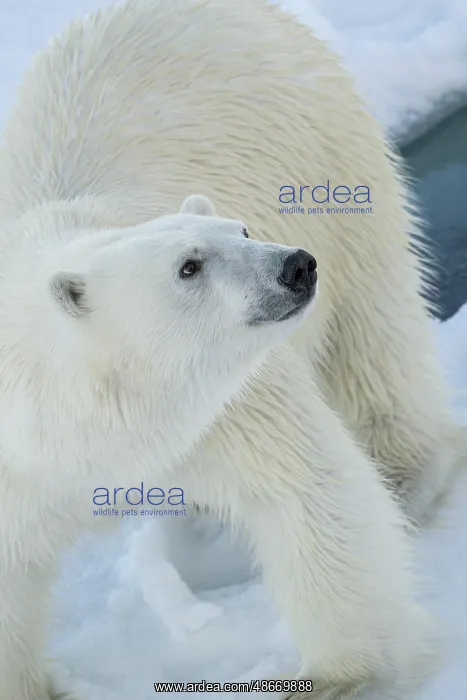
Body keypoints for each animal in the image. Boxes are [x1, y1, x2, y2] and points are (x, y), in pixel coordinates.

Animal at [0, 0, 462, 698]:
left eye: (239, 229)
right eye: (189, 265)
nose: (295, 266)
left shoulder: (227, 403)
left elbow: (308, 490)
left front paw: (341, 676)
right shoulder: (23, 472)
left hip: (331, 159)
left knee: (373, 330)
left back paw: (409, 474)